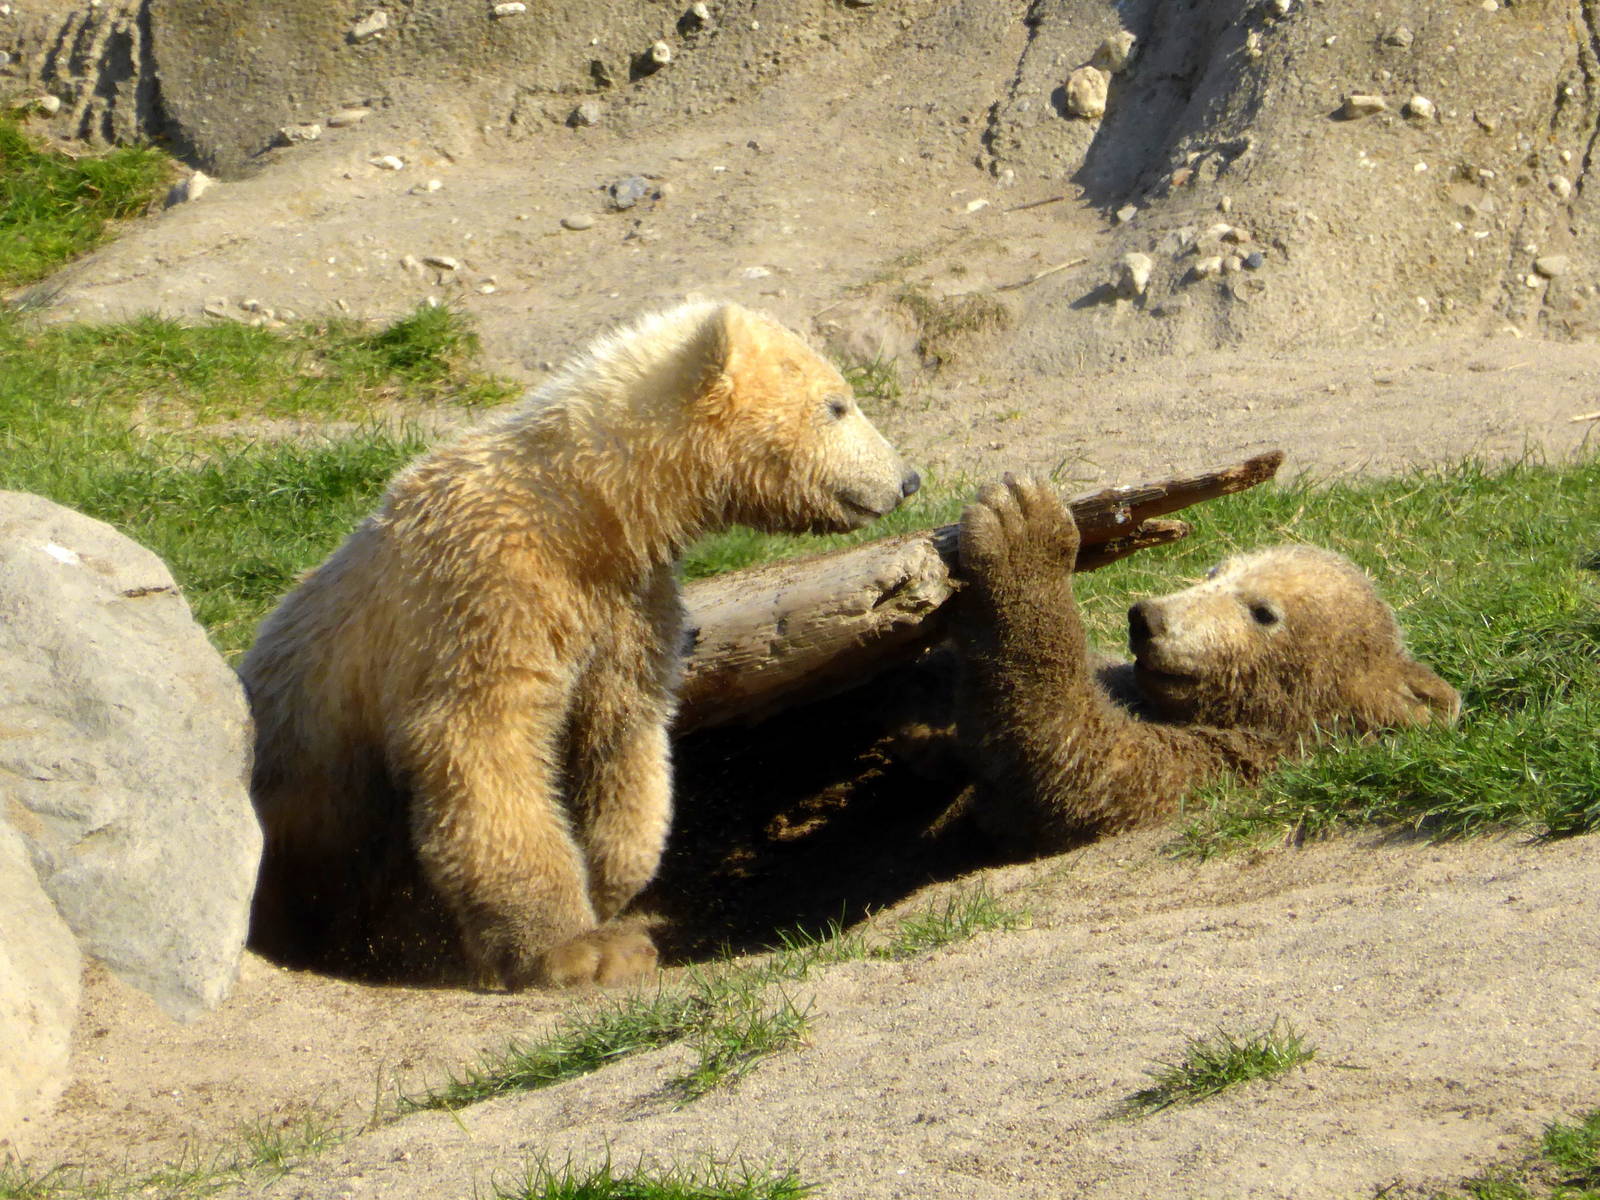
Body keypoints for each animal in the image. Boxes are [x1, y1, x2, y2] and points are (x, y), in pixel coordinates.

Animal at [239, 300, 921, 989]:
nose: (908, 479)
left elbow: (621, 731)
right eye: (837, 404)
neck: (579, 508)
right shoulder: (485, 589)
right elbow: (485, 743)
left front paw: (610, 881)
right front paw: (581, 949)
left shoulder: (626, 602)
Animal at [947, 476, 1459, 854]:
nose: (1147, 619)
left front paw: (1022, 526)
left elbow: (1078, 763)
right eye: (1215, 572)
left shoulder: (1230, 760)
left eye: (1263, 612)